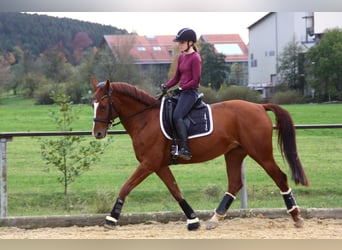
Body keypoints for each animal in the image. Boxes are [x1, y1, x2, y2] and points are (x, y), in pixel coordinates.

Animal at [90, 78, 308, 230]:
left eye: (103, 106)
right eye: (92, 104)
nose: (97, 133)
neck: (145, 119)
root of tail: (259, 106)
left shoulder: (149, 163)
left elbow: (126, 187)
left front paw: (111, 218)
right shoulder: (159, 165)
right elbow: (175, 190)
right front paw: (193, 220)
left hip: (260, 152)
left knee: (280, 177)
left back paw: (296, 216)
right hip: (234, 153)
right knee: (235, 183)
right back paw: (215, 219)